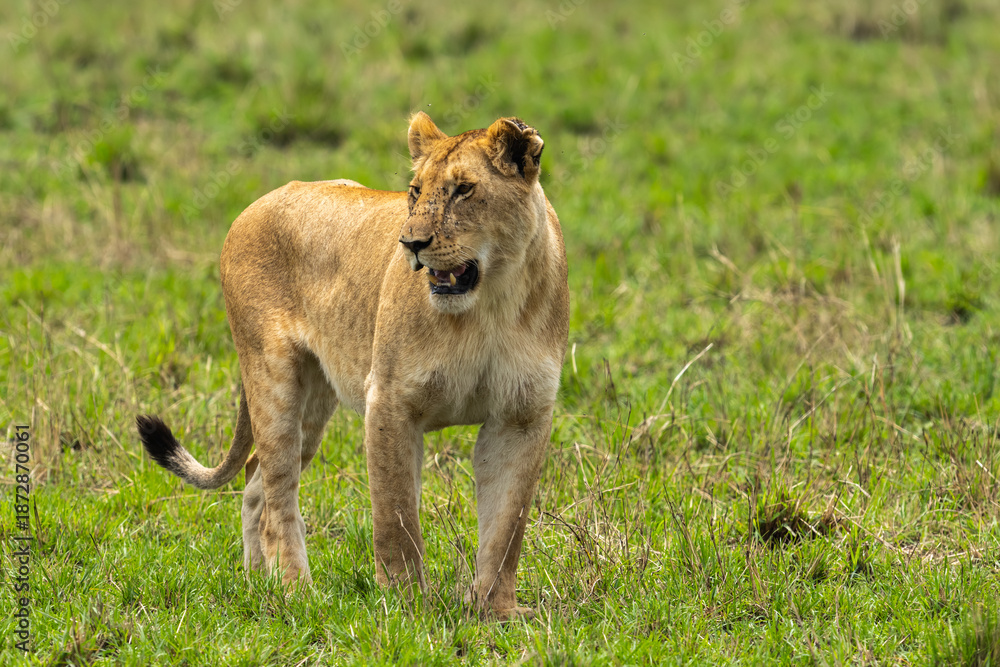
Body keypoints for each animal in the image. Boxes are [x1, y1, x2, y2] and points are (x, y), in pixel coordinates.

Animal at [137, 112, 569, 620]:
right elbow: (396, 516)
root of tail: (257, 202)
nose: (411, 243)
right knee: (277, 498)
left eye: (464, 190)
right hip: (273, 380)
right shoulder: (390, 400)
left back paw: (256, 583)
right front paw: (405, 606)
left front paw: (495, 613)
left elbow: (506, 526)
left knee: (254, 480)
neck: (489, 305)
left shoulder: (521, 416)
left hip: (314, 403)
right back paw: (296, 593)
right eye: (415, 191)